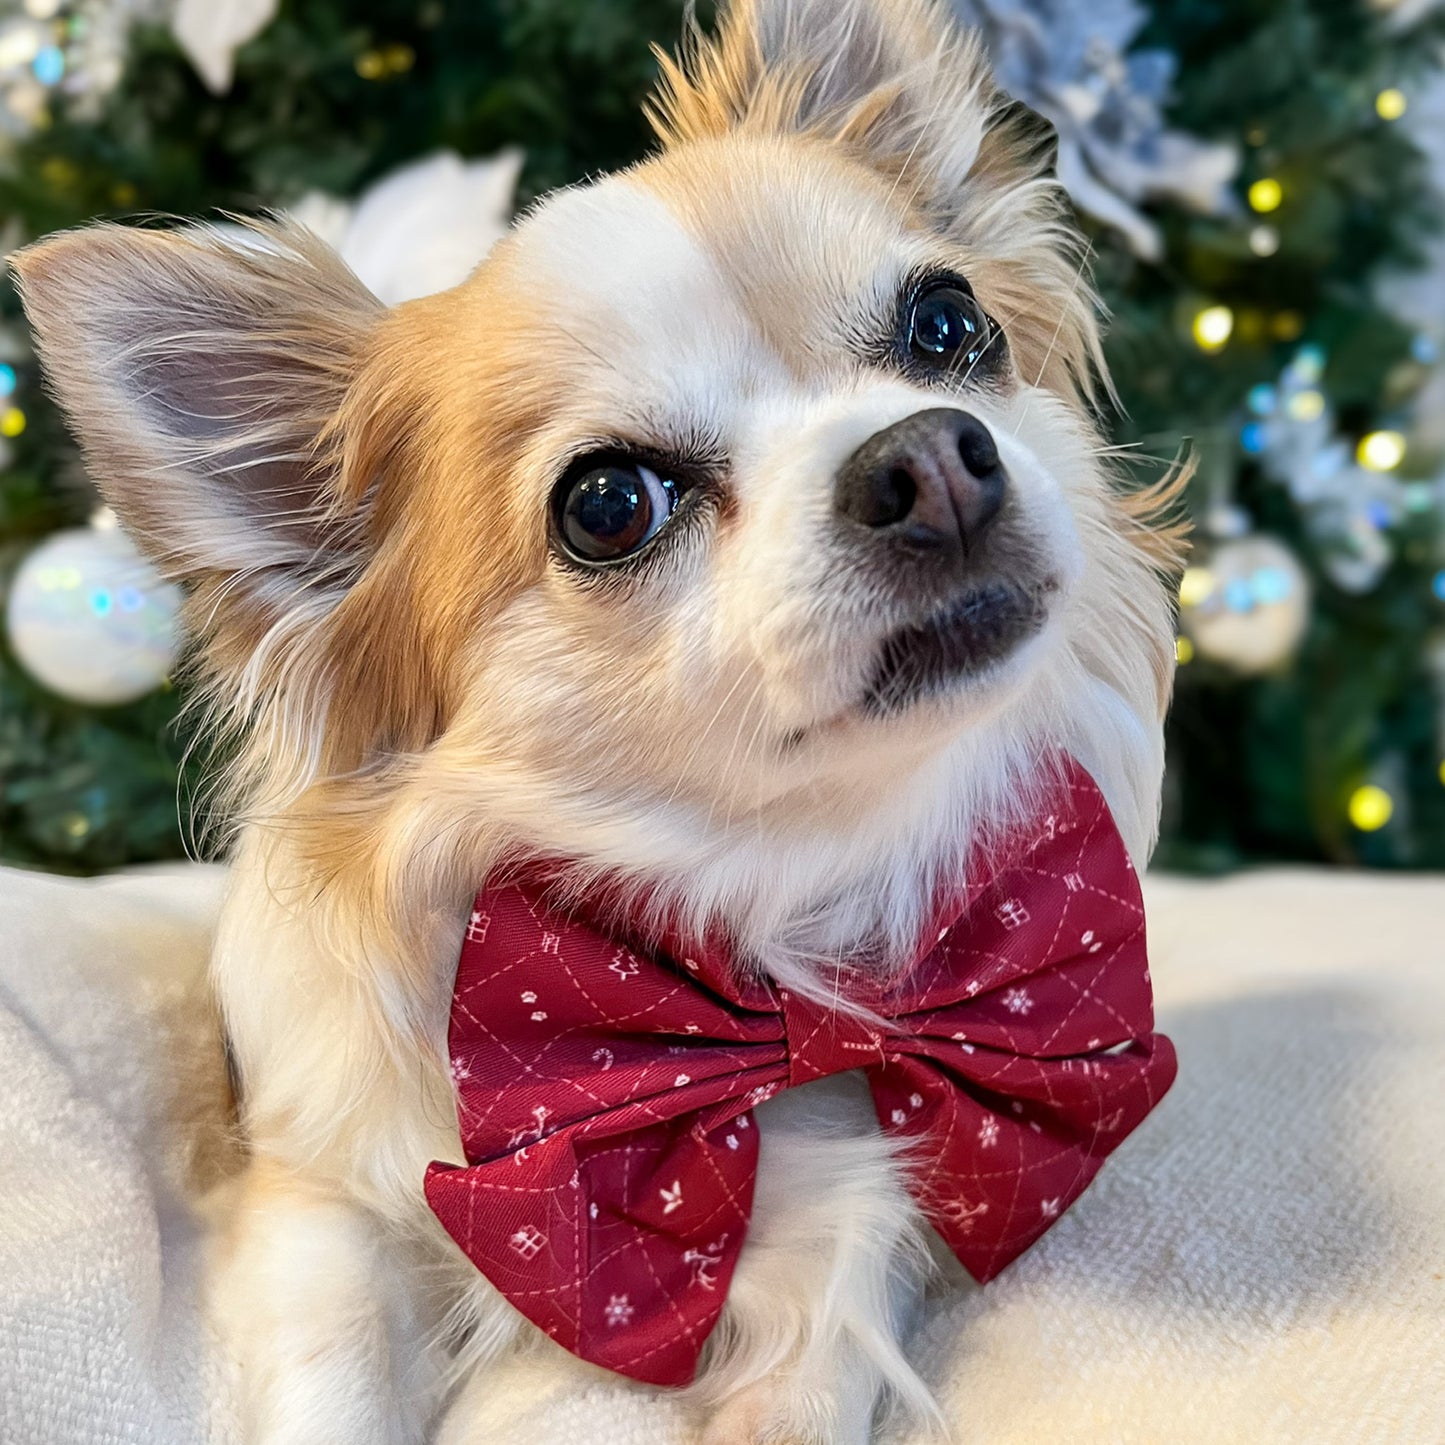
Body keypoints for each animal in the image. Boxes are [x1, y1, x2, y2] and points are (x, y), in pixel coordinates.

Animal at [14, 5, 1184, 1439]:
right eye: (609, 504)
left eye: (948, 323)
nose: (928, 458)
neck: (761, 901)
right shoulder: (319, 1204)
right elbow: (332, 1374)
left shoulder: (865, 1199)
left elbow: (808, 1368)